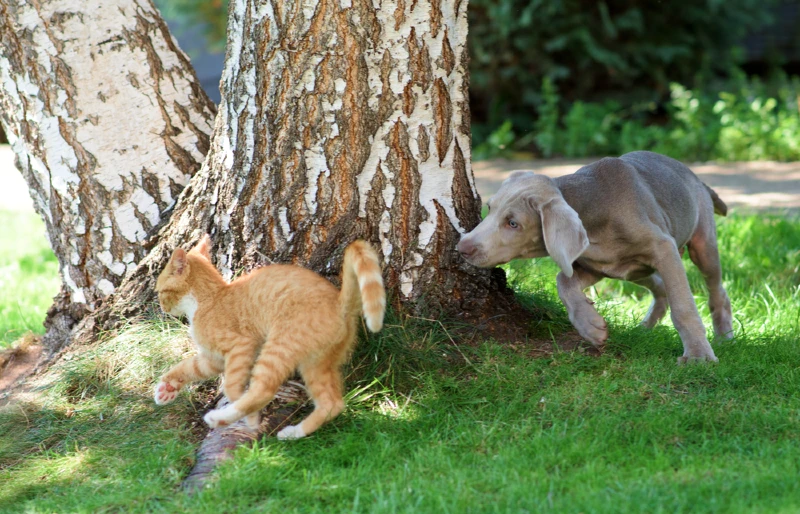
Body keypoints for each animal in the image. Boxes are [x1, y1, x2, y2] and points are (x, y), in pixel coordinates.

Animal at [154, 234, 388, 438]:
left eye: (159, 292)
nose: (162, 307)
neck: (207, 299)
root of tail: (339, 303)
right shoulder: (213, 359)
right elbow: (189, 366)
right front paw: (167, 387)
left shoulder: (242, 346)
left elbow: (231, 387)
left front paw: (251, 419)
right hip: (317, 363)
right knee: (332, 403)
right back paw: (295, 432)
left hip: (279, 347)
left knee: (263, 390)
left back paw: (221, 418)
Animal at [460, 150, 736, 362]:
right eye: (489, 208)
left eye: (513, 223)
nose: (462, 247)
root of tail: (696, 178)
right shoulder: (594, 266)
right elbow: (563, 280)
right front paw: (590, 326)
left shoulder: (663, 248)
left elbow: (683, 306)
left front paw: (699, 356)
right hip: (634, 270)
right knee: (660, 287)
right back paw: (644, 329)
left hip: (701, 245)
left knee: (716, 291)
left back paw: (724, 337)